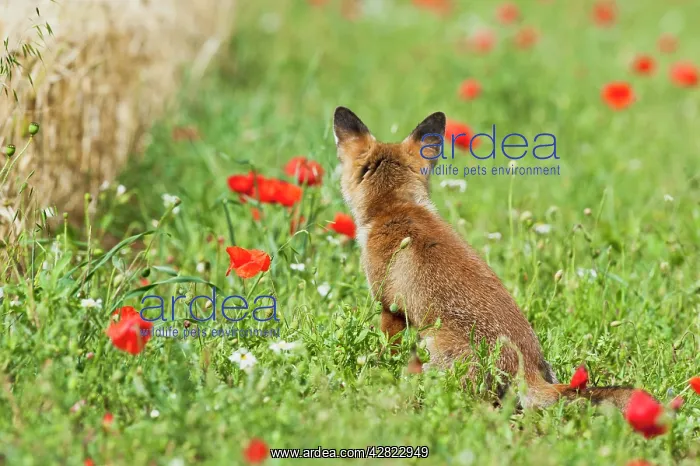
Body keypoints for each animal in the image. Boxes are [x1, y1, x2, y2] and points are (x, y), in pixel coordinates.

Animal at [332, 106, 634, 410]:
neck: (395, 208)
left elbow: (387, 348)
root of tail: (528, 368)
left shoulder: (390, 306)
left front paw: (379, 370)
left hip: (435, 350)